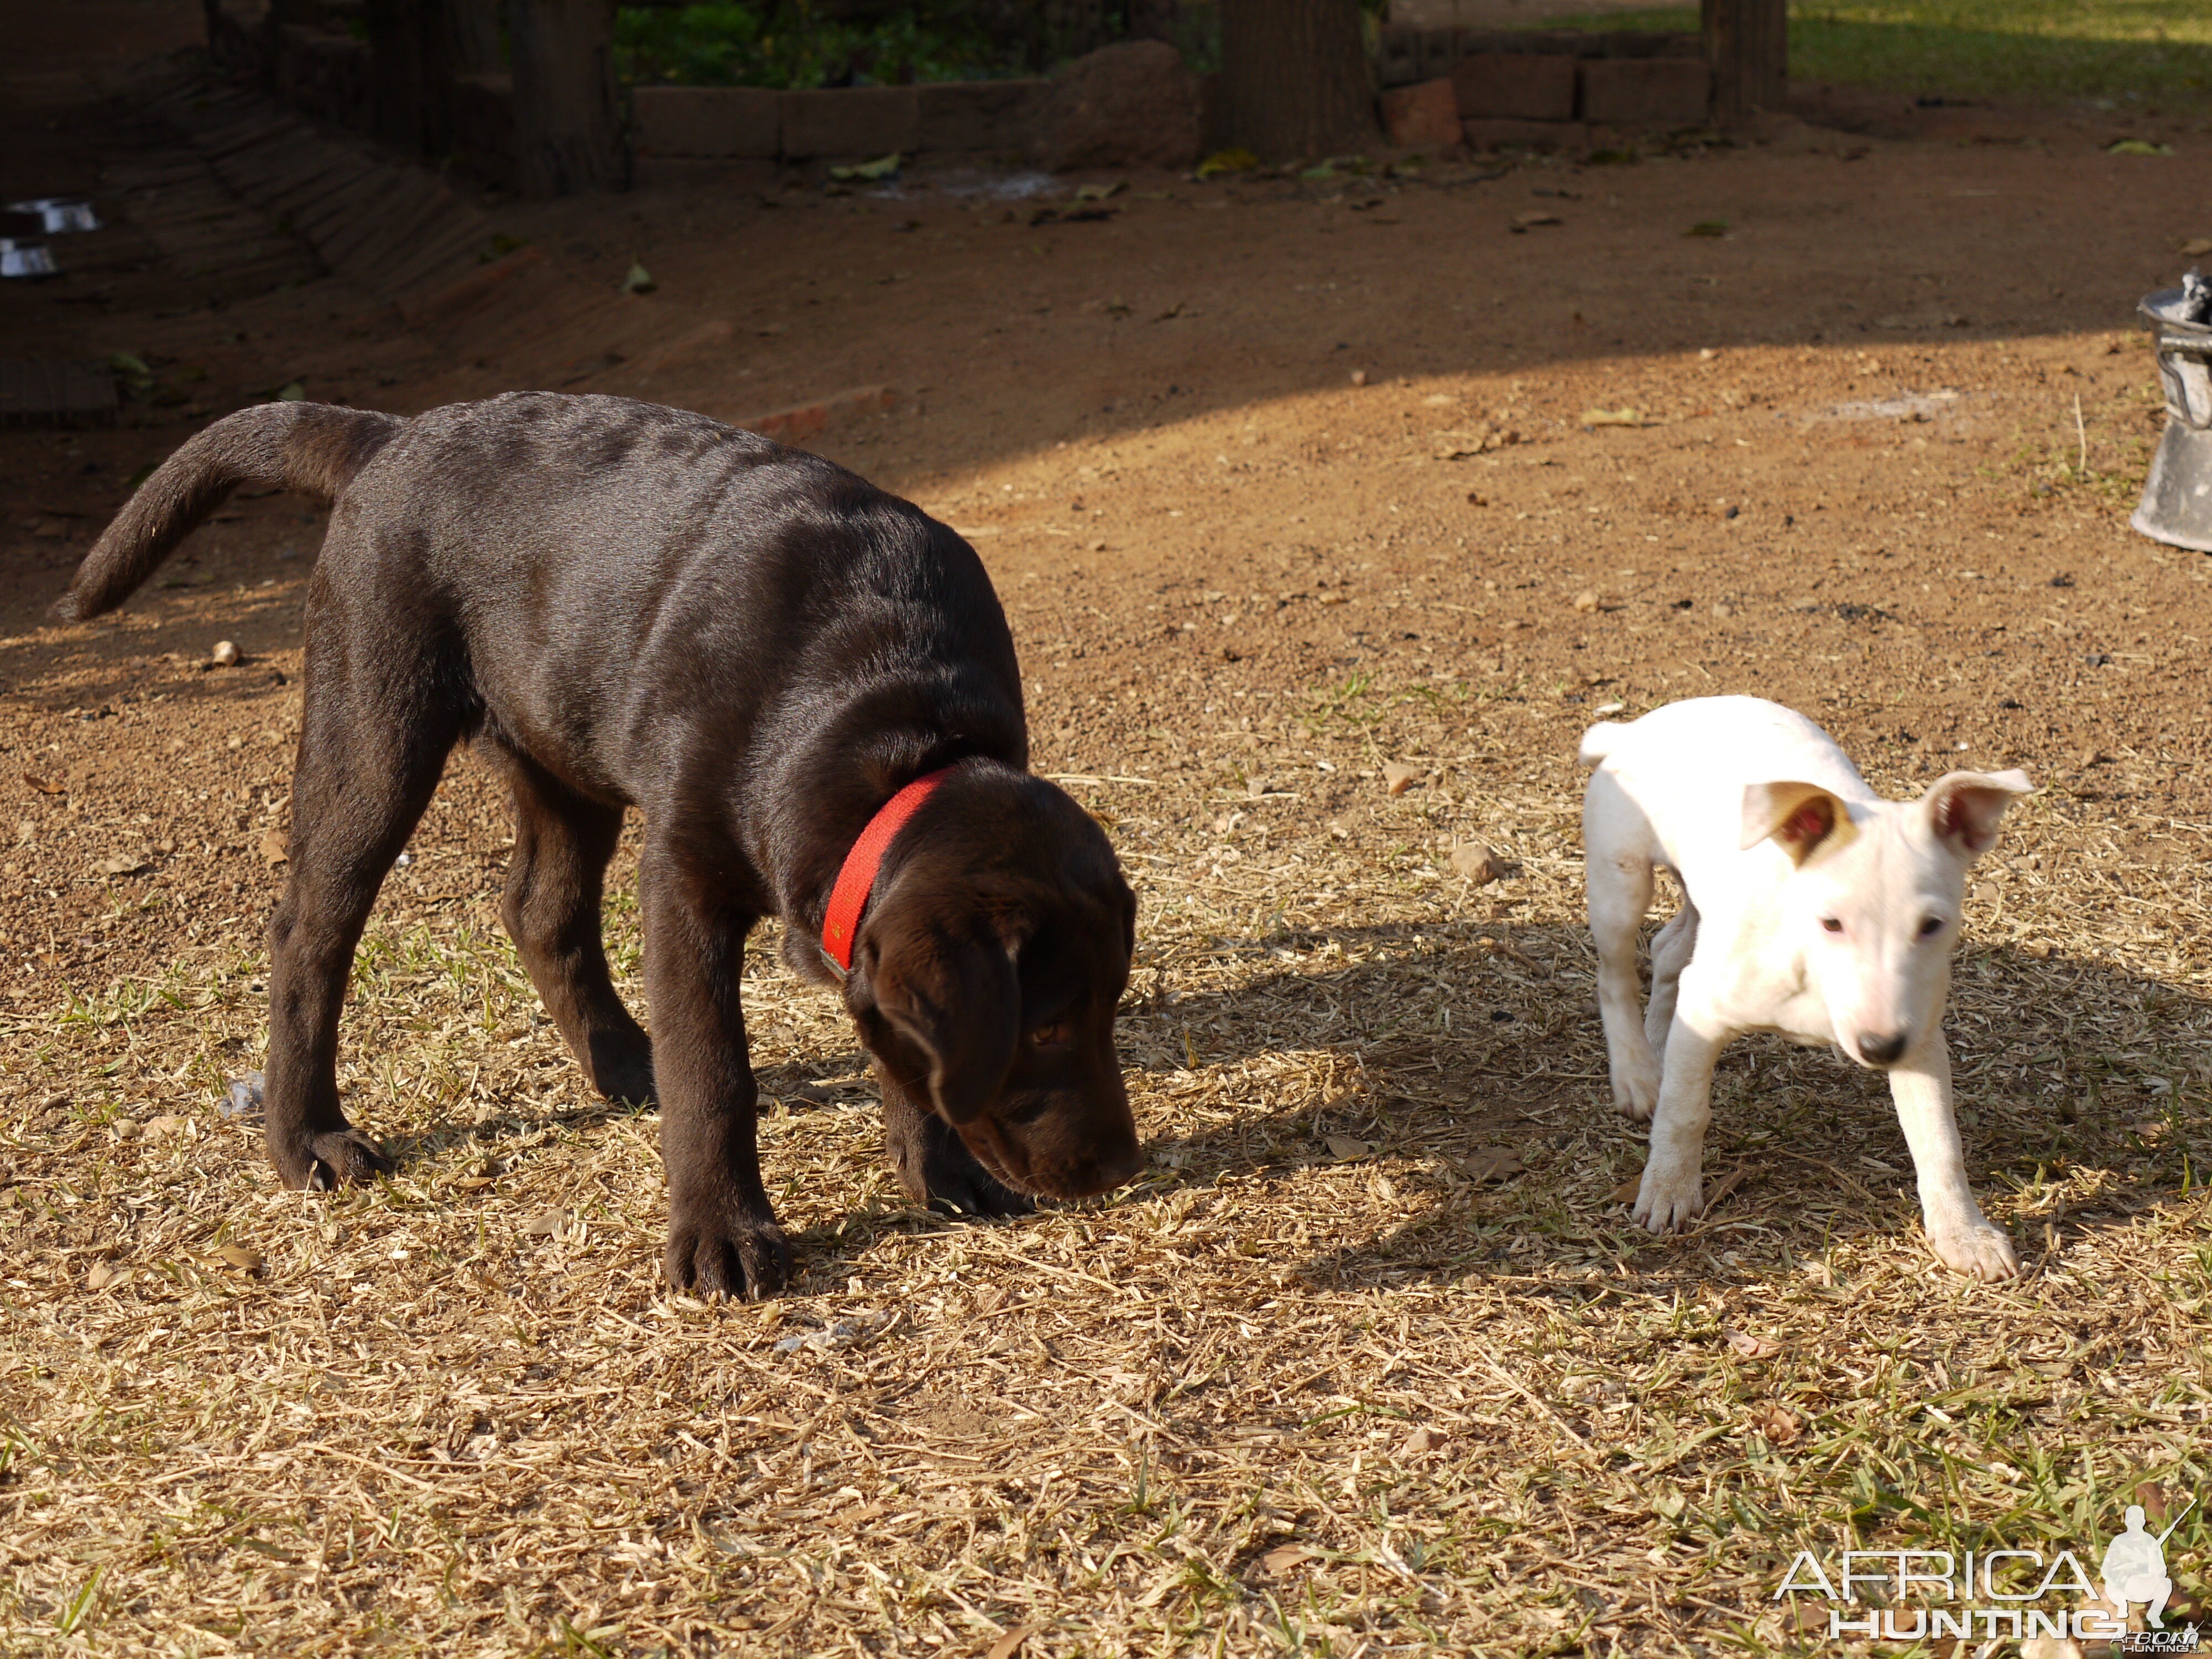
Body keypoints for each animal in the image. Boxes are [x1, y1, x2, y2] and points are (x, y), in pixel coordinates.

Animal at [65, 396, 1141, 1310]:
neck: (894, 721)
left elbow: (899, 1049)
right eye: (1046, 1028)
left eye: (1106, 1010)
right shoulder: (686, 878)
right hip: (374, 732)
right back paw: (307, 1140)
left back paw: (625, 1060)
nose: (1123, 1169)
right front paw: (724, 1236)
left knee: (540, 911)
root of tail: (394, 433)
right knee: (310, 933)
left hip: (560, 752)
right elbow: (715, 1071)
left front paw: (941, 1170)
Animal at [1575, 695, 2035, 1283]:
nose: (1879, 1049)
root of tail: (1633, 727)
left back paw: (1656, 1040)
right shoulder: (1707, 1011)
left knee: (1669, 948)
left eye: (1932, 925)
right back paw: (1635, 1072)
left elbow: (1939, 1140)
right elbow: (1685, 1110)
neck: (1814, 973)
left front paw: (1964, 1233)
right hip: (1621, 880)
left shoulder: (1920, 1038)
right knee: (1615, 974)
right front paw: (1669, 1192)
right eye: (1831, 923)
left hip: (1700, 899)